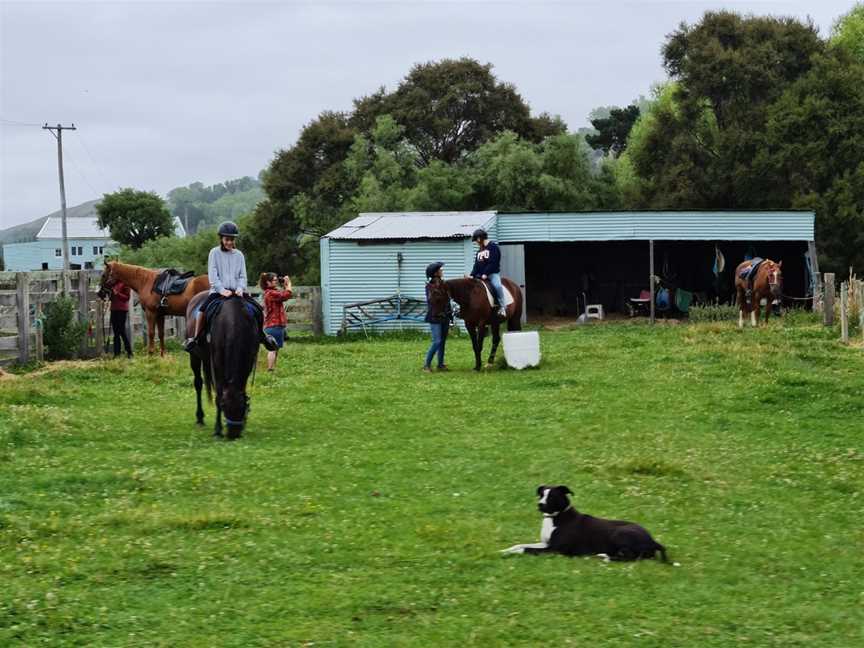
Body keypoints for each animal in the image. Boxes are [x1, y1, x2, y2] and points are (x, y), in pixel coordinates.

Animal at [500, 486, 668, 560]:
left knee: (631, 557)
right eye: (541, 495)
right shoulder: (546, 544)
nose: (540, 505)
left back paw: (605, 557)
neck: (557, 517)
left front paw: (510, 554)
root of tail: (653, 541)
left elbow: (526, 549)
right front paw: (504, 550)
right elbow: (520, 544)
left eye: (552, 496)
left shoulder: (555, 550)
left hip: (620, 533)